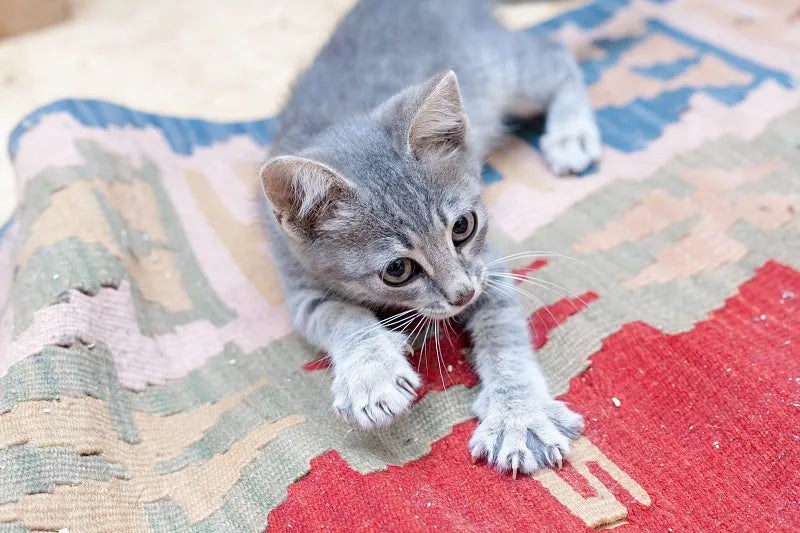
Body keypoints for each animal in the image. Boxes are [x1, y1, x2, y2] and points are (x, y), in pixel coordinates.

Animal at [262, 0, 600, 474]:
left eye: (462, 227)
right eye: (397, 269)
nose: (463, 294)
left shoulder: (488, 268)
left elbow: (504, 335)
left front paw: (519, 414)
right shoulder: (296, 281)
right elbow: (336, 314)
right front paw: (371, 371)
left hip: (503, 70)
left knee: (555, 54)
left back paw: (572, 133)